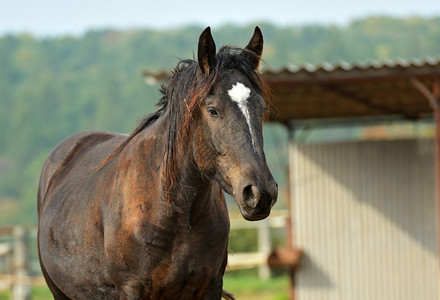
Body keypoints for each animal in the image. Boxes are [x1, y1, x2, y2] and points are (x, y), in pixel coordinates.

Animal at [38, 26, 278, 300]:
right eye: (213, 110)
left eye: (262, 109)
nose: (261, 193)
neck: (175, 212)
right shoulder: (133, 290)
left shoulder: (211, 287)